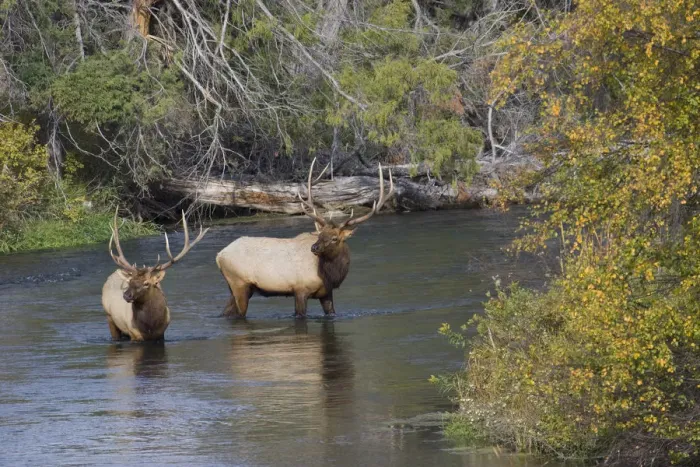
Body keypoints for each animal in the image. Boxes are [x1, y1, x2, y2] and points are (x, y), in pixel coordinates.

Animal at [101, 211, 208, 341]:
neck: (150, 326)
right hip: (109, 316)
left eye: (146, 283)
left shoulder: (161, 333)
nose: (126, 295)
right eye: (130, 281)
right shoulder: (134, 334)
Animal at [216, 159, 394, 319]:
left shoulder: (326, 293)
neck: (329, 275)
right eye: (320, 235)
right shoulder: (300, 289)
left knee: (226, 313)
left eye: (335, 238)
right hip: (239, 283)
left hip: (238, 287)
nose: (314, 248)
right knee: (239, 314)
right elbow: (300, 315)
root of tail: (219, 256)